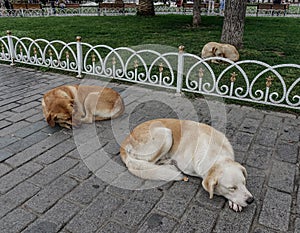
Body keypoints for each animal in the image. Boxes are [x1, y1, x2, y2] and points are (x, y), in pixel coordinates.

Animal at [119, 119, 253, 212]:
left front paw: (234, 203)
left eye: (244, 182)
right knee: (151, 162)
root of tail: (124, 142)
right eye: (231, 188)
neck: (215, 152)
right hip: (166, 134)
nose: (251, 200)